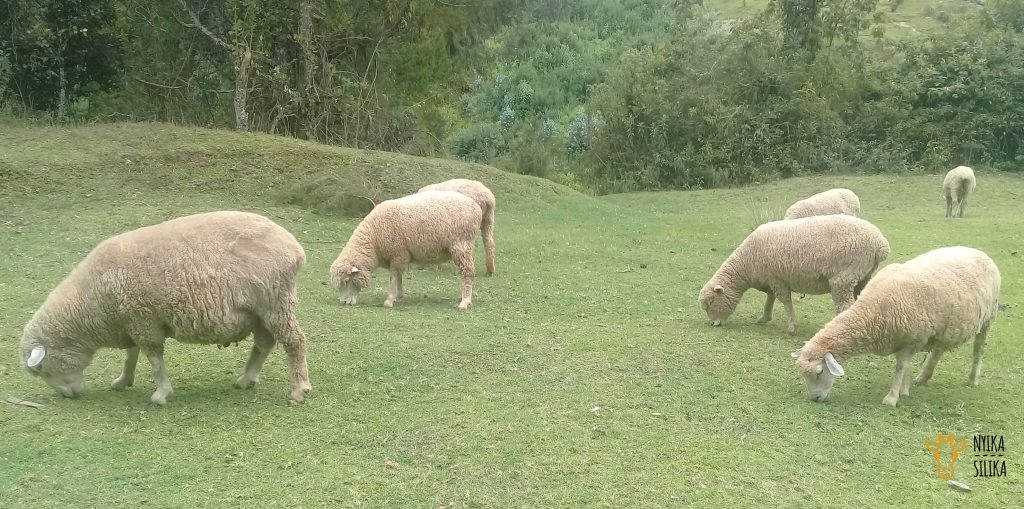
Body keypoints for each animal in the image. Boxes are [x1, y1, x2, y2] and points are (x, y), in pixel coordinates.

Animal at [19, 211, 312, 406]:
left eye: (42, 370)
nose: (69, 396)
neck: (91, 302)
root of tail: (294, 247)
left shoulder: (144, 320)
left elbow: (154, 360)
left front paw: (160, 394)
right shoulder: (132, 320)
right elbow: (131, 355)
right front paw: (123, 381)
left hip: (275, 302)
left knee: (294, 342)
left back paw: (299, 389)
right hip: (261, 311)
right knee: (264, 344)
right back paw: (246, 379)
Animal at [330, 190, 482, 310]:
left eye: (347, 280)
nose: (343, 302)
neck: (373, 239)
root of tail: (476, 207)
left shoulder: (398, 253)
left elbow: (393, 277)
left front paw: (389, 300)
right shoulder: (399, 256)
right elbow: (398, 277)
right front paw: (398, 296)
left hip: (462, 244)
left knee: (468, 272)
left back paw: (465, 302)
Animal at [699, 215, 890, 335]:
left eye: (711, 303)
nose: (712, 324)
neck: (747, 263)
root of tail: (880, 244)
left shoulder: (777, 279)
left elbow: (785, 301)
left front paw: (792, 327)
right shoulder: (771, 279)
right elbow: (770, 299)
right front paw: (764, 318)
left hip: (843, 279)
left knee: (844, 306)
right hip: (862, 277)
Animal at [792, 246, 1000, 407]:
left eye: (819, 372)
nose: (815, 398)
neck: (872, 309)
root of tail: (980, 252)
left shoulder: (911, 340)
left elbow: (900, 367)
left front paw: (892, 398)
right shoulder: (905, 340)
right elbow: (905, 367)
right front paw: (904, 390)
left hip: (988, 318)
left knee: (978, 351)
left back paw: (972, 379)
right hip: (946, 327)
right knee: (938, 350)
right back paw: (923, 377)